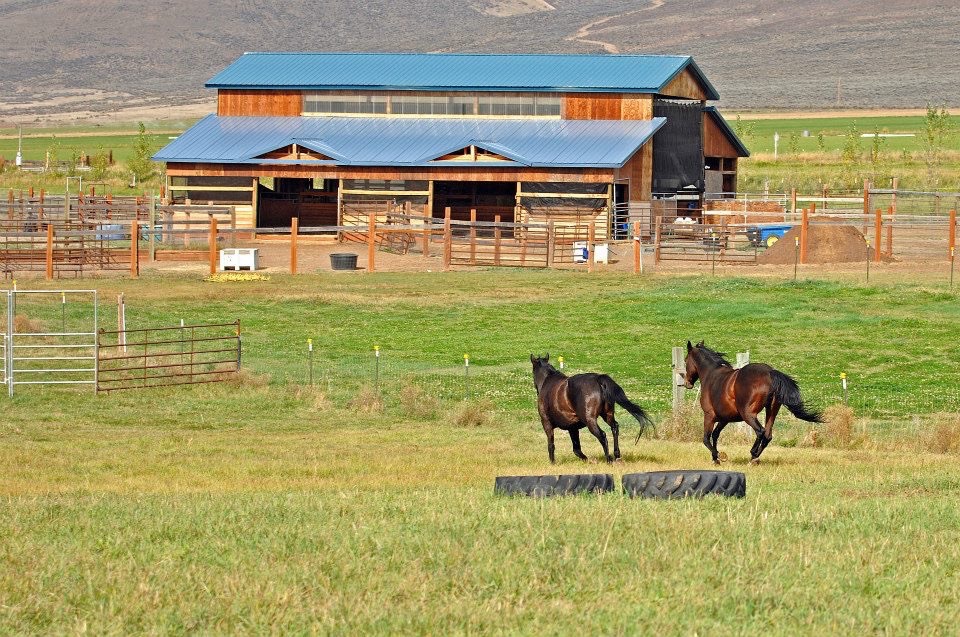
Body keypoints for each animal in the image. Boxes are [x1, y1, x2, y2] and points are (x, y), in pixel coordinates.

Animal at [682, 341, 823, 465]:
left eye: (685, 360)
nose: (687, 383)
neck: (711, 375)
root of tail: (770, 372)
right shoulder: (724, 418)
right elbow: (715, 435)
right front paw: (715, 459)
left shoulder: (709, 415)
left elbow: (706, 439)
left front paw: (719, 456)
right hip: (771, 411)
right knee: (768, 435)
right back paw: (754, 458)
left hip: (748, 414)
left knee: (760, 431)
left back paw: (753, 454)